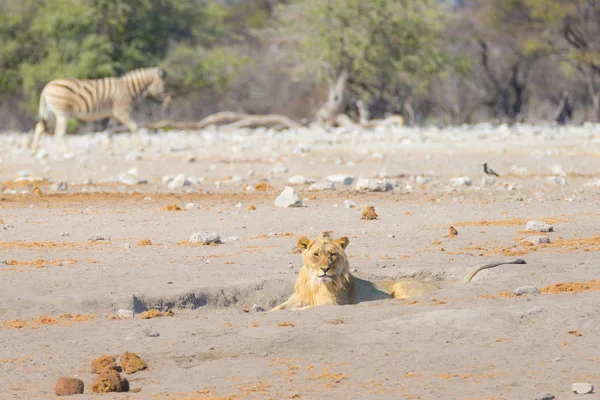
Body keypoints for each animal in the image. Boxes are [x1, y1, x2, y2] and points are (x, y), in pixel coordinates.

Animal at [30, 66, 171, 154]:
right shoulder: (121, 111)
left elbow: (110, 131)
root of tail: (46, 87)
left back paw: (34, 150)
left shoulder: (114, 115)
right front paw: (141, 147)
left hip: (50, 112)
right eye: (164, 85)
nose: (169, 99)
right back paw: (67, 151)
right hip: (61, 113)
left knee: (39, 127)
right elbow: (134, 127)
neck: (128, 89)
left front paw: (109, 150)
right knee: (59, 132)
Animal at [270, 231, 524, 312]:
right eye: (316, 255)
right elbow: (280, 308)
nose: (325, 269)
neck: (315, 283)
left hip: (401, 286)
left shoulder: (332, 304)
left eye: (332, 255)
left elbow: (304, 310)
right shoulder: (296, 298)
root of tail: (439, 285)